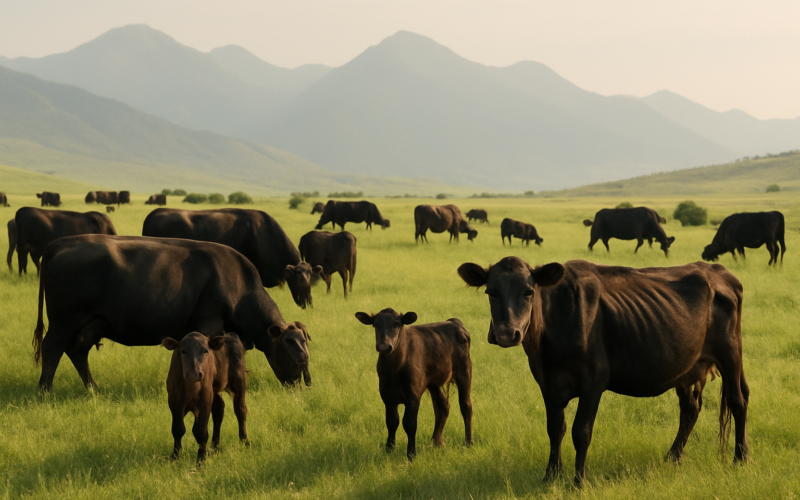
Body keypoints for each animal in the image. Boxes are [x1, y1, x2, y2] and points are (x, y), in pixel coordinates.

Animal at [33, 234, 312, 392]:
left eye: (305, 345)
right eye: (293, 351)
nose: (302, 385)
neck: (240, 286)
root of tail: (59, 243)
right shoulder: (209, 324)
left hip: (88, 325)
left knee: (77, 352)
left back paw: (93, 388)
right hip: (64, 322)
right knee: (52, 348)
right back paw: (45, 390)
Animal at [162, 332, 249, 464]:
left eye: (205, 351)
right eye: (183, 351)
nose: (193, 374)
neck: (190, 388)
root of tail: (231, 335)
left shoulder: (205, 401)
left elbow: (200, 432)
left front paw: (201, 460)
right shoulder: (174, 401)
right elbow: (178, 429)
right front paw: (175, 457)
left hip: (239, 382)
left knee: (241, 410)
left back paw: (245, 442)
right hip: (214, 390)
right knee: (219, 410)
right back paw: (215, 447)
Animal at [355, 309, 473, 460]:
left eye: (396, 324)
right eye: (375, 325)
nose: (383, 346)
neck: (394, 368)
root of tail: (453, 321)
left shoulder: (413, 393)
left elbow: (409, 423)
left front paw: (411, 454)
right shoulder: (386, 394)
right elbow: (391, 421)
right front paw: (389, 449)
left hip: (465, 372)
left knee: (466, 406)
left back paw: (468, 442)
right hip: (433, 382)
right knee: (442, 407)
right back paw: (436, 442)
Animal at [457, 257, 749, 486]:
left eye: (528, 292)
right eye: (491, 292)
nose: (506, 334)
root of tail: (719, 271)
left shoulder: (593, 381)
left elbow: (581, 431)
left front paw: (578, 481)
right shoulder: (548, 383)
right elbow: (555, 429)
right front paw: (551, 475)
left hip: (731, 352)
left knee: (738, 401)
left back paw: (741, 457)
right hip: (687, 367)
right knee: (691, 408)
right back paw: (673, 457)